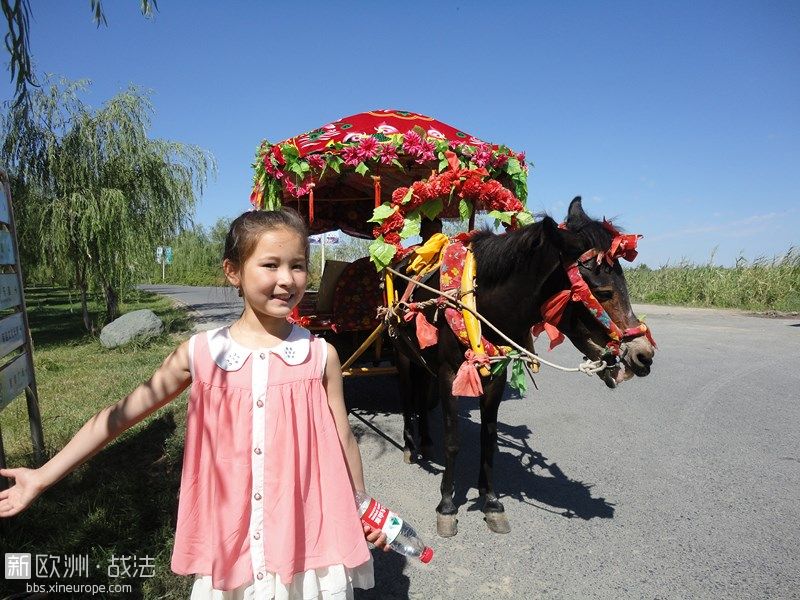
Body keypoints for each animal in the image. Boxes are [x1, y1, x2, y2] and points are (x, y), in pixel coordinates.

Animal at [390, 198, 656, 540]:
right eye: (604, 292)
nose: (643, 355)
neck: (480, 301)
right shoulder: (450, 375)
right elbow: (453, 441)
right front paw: (447, 505)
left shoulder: (496, 376)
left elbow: (489, 439)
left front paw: (491, 501)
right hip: (402, 353)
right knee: (407, 397)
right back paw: (410, 445)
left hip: (424, 359)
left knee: (422, 396)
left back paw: (424, 441)